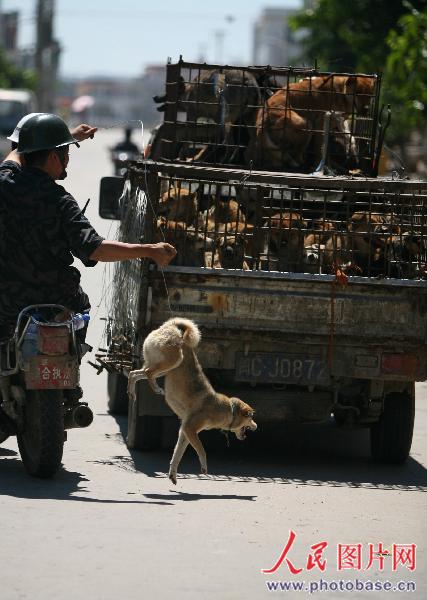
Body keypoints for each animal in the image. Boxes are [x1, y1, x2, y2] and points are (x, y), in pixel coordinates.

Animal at [128, 316, 258, 486]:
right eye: (251, 417)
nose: (256, 426)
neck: (227, 409)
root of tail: (170, 327)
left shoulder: (184, 431)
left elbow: (177, 455)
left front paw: (173, 474)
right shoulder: (190, 428)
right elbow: (201, 450)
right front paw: (204, 467)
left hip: (161, 367)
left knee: (134, 373)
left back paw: (132, 391)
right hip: (174, 360)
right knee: (148, 373)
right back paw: (156, 389)